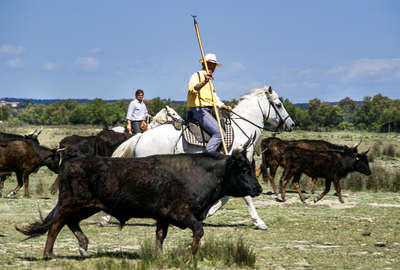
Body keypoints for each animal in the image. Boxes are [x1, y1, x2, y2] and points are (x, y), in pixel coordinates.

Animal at [17, 150, 262, 258]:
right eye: (243, 169)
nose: (258, 189)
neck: (202, 173)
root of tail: (71, 161)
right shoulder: (181, 213)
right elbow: (199, 230)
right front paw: (190, 252)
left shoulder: (163, 216)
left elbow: (160, 236)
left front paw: (159, 255)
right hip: (72, 203)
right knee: (56, 225)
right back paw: (49, 254)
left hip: (87, 206)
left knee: (70, 223)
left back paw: (83, 246)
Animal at [111, 85, 296, 229]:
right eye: (278, 104)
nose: (291, 124)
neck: (242, 130)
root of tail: (141, 136)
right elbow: (245, 197)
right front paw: (259, 222)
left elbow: (226, 197)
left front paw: (205, 212)